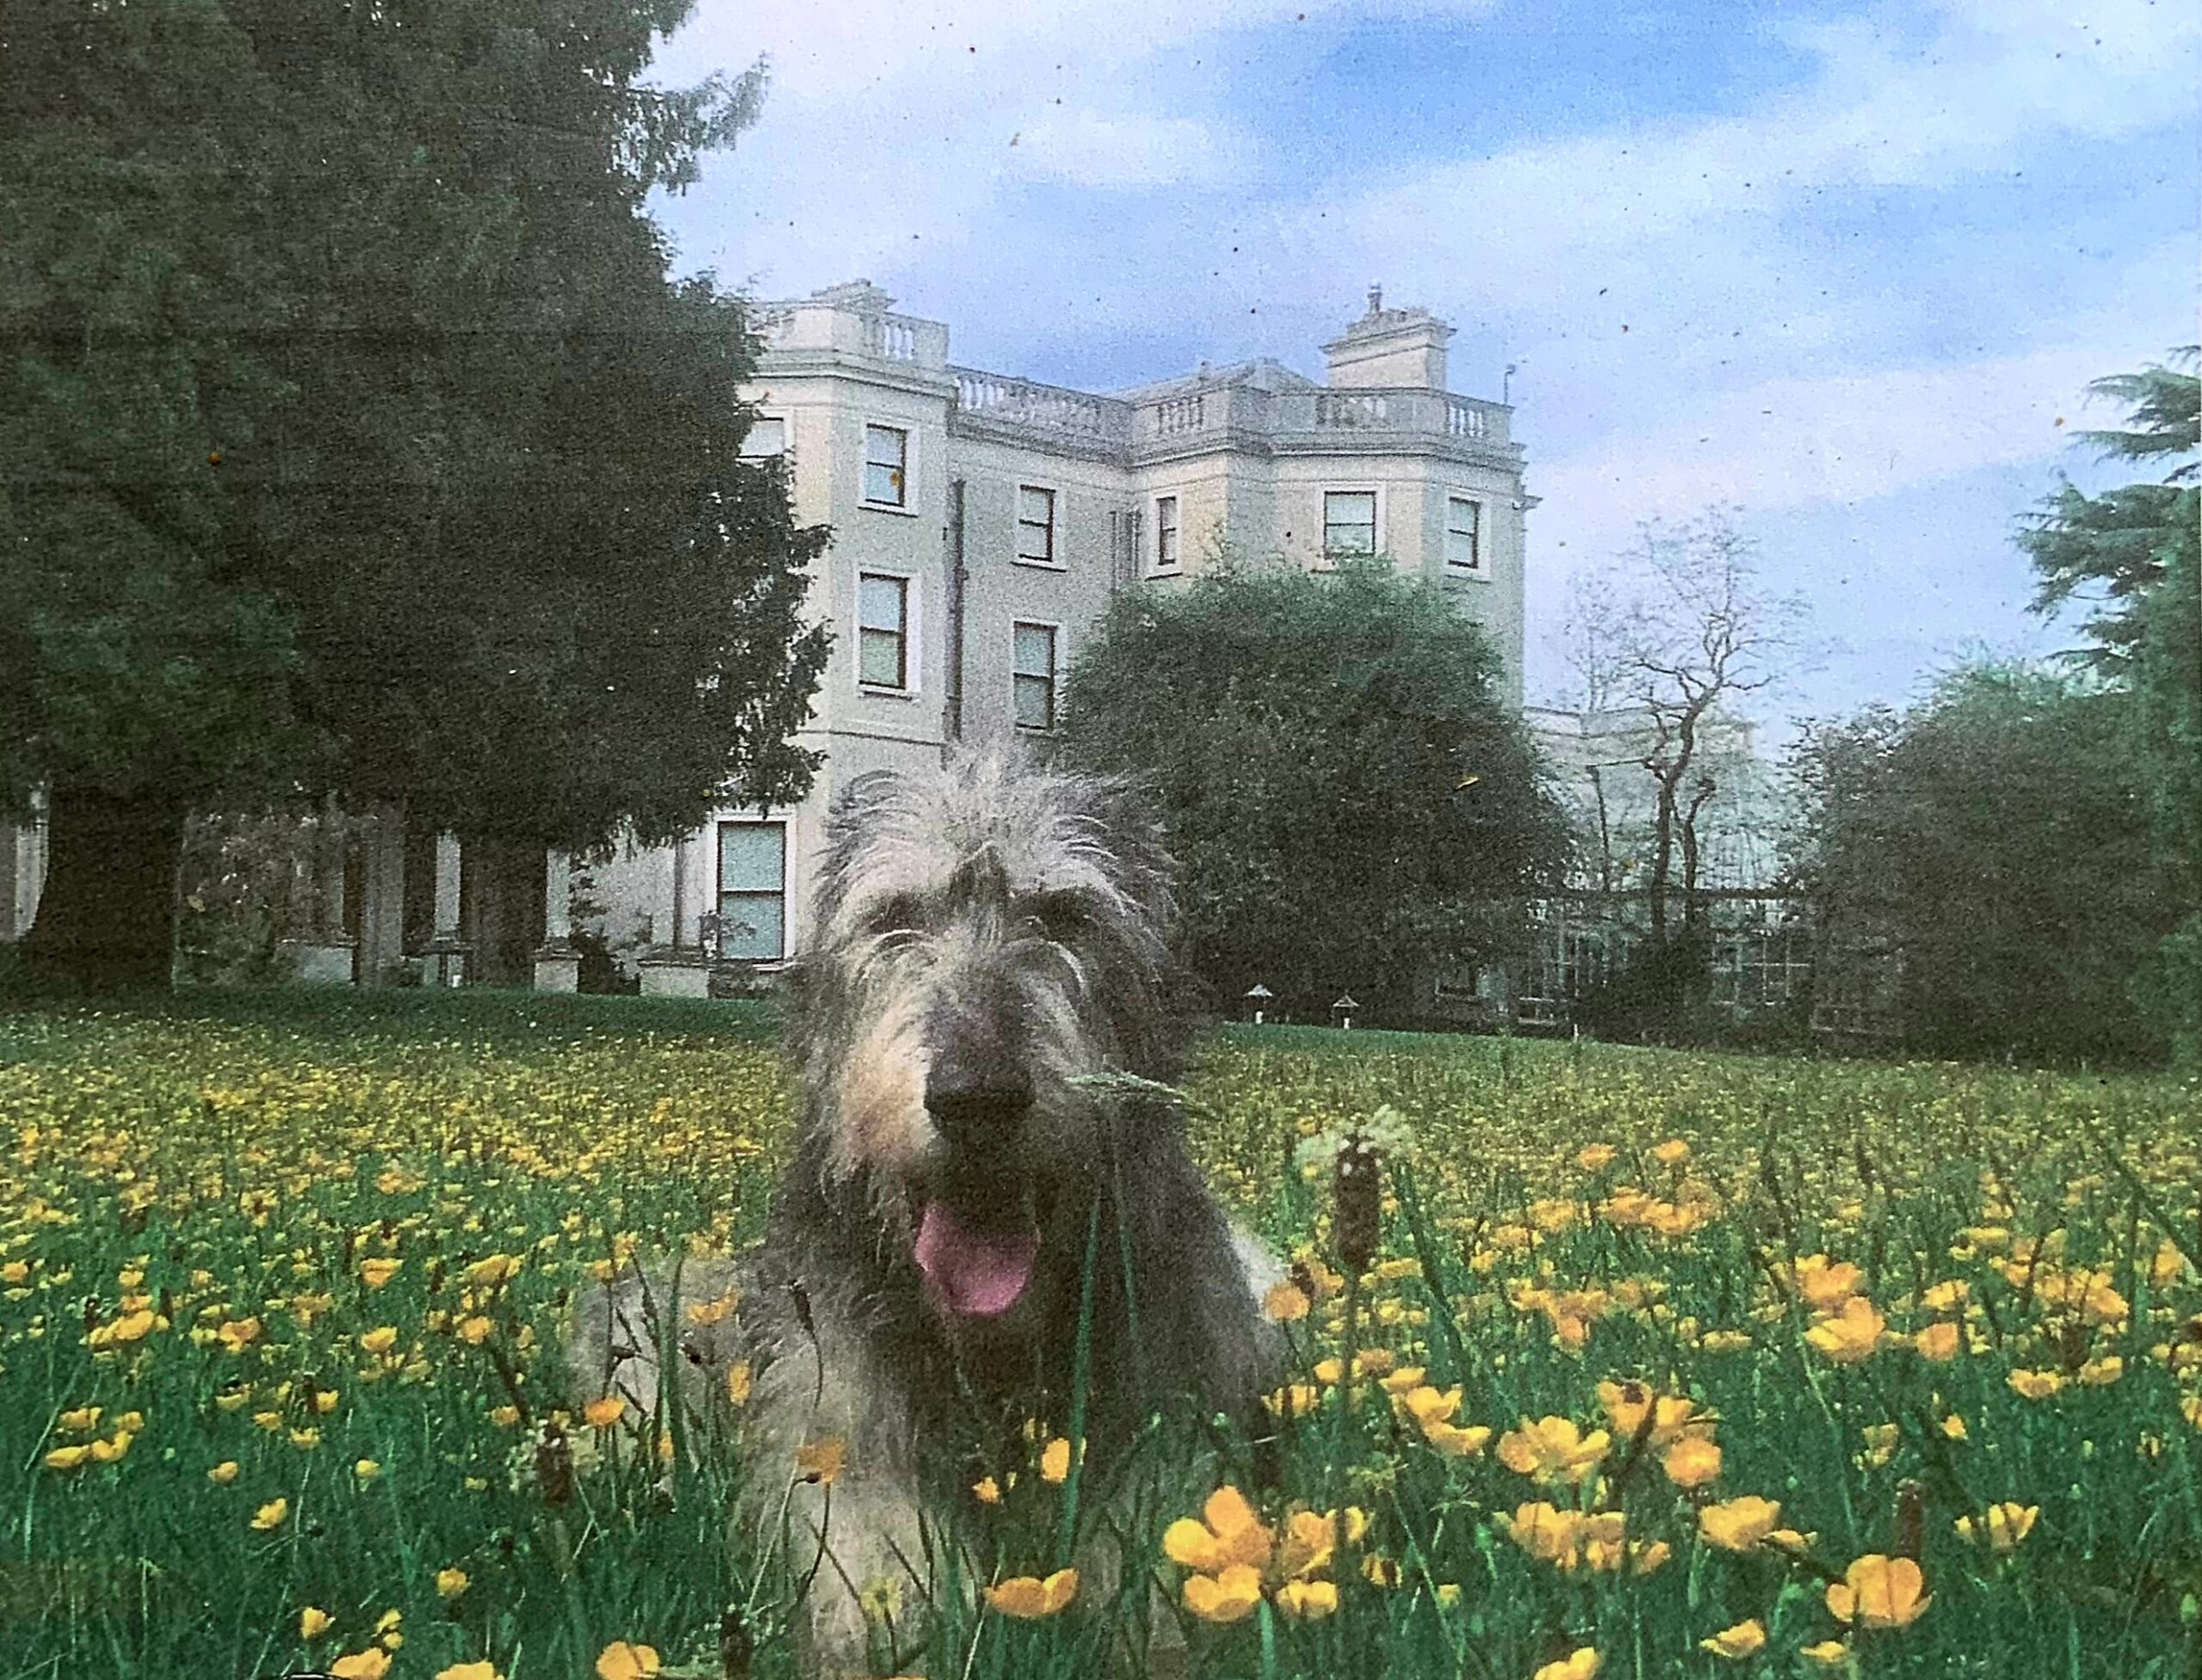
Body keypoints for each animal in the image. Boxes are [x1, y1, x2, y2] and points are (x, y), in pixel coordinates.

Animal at [572, 757, 1276, 1673]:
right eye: (896, 917)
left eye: (1065, 915)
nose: (976, 1097)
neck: (994, 1359)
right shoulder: (839, 1449)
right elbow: (884, 1588)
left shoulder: (1174, 1421)